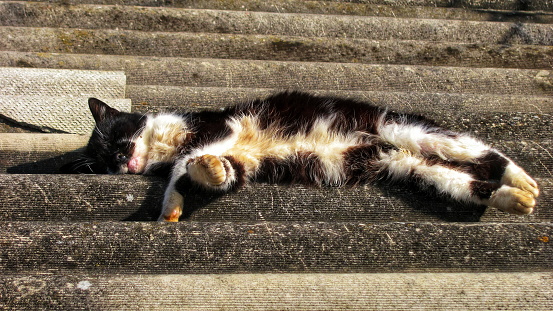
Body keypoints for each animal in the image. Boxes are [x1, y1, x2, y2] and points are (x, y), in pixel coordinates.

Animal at [61, 91, 540, 223]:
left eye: (117, 143)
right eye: (102, 166)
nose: (121, 165)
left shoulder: (218, 128)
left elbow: (183, 164)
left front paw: (167, 206)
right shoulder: (243, 163)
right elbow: (220, 173)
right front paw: (202, 179)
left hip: (409, 129)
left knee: (487, 153)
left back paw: (524, 180)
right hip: (410, 169)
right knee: (468, 182)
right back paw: (515, 199)